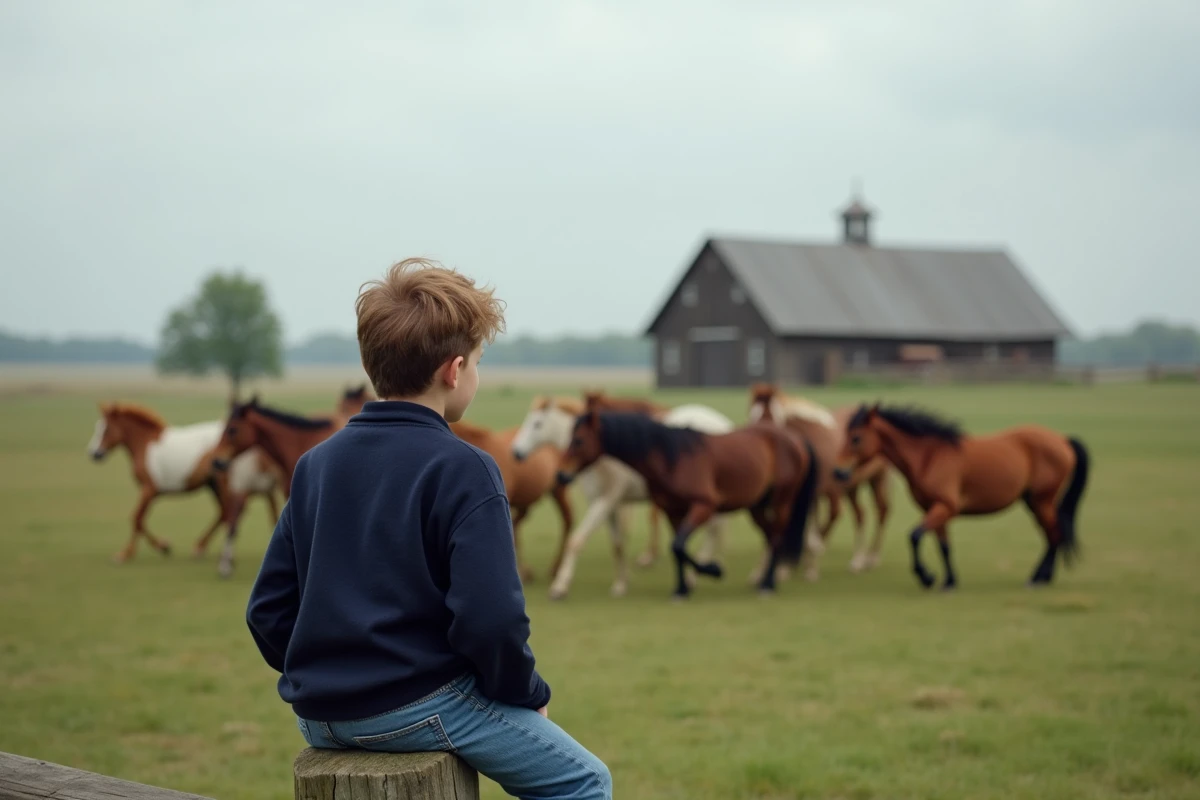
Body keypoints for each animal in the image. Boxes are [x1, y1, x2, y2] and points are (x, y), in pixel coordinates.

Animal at [87, 402, 281, 566]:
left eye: (105, 429)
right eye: (98, 428)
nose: (93, 453)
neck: (145, 443)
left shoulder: (149, 489)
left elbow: (137, 519)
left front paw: (130, 553)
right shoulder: (151, 492)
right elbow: (139, 520)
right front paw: (161, 546)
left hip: (222, 485)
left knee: (230, 513)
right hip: (213, 485)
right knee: (225, 513)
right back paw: (202, 547)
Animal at [511, 395, 734, 599]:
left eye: (537, 423)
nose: (516, 452)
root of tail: (723, 424)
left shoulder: (605, 501)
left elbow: (577, 541)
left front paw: (560, 586)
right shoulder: (610, 505)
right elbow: (618, 544)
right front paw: (621, 584)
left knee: (712, 533)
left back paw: (693, 577)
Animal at [558, 411, 821, 598]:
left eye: (578, 440)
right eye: (569, 438)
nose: (561, 474)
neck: (671, 458)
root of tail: (796, 439)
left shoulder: (704, 506)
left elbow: (678, 545)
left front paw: (712, 570)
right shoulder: (672, 511)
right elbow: (677, 548)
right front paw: (681, 588)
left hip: (782, 502)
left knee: (776, 536)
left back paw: (767, 584)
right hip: (756, 507)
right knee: (770, 537)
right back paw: (763, 580)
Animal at [748, 383, 893, 578]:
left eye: (770, 416)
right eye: (751, 414)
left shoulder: (817, 493)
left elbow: (809, 528)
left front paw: (804, 566)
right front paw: (767, 569)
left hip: (877, 479)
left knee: (880, 511)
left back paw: (870, 558)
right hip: (852, 487)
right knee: (860, 515)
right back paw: (857, 560)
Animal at [837, 404, 1091, 590]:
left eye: (856, 438)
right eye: (846, 436)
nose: (839, 472)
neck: (930, 457)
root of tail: (1062, 440)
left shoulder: (945, 507)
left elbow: (915, 536)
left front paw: (927, 577)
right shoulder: (936, 509)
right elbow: (944, 546)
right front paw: (949, 581)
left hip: (1042, 501)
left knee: (1055, 534)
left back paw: (1038, 579)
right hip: (1034, 503)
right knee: (1051, 535)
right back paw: (1041, 577)